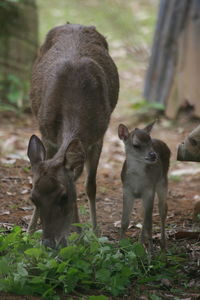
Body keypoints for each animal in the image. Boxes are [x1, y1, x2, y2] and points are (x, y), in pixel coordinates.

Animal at [27, 24, 119, 248]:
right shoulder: (47, 133)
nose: (49, 243)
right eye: (33, 198)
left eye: (64, 197)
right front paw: (29, 231)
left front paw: (90, 233)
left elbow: (89, 185)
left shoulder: (98, 136)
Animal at [119, 122, 170, 251]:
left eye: (150, 143)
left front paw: (146, 248)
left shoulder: (149, 190)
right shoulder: (126, 190)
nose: (153, 155)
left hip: (163, 181)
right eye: (136, 145)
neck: (137, 180)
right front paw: (120, 247)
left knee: (162, 209)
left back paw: (163, 244)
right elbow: (124, 221)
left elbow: (148, 223)